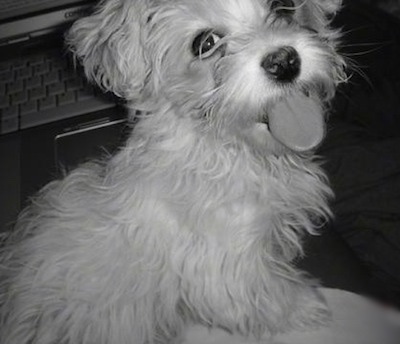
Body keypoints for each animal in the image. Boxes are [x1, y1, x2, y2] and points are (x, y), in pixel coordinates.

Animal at [0, 0, 346, 342]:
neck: (223, 149)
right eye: (205, 43)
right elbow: (270, 296)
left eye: (284, 5)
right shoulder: (228, 268)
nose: (284, 61)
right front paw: (308, 305)